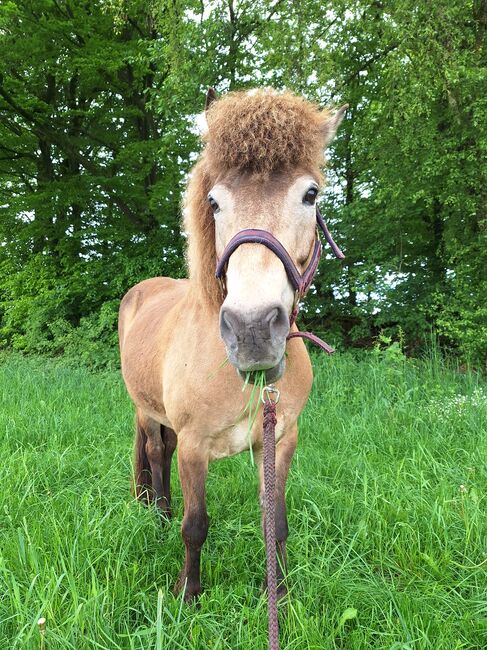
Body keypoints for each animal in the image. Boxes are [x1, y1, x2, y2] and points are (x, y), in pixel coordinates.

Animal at [118, 87, 346, 604]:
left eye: (311, 194)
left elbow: (275, 522)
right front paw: (188, 594)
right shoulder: (194, 447)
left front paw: (278, 594)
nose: (252, 329)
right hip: (146, 410)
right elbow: (195, 525)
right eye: (214, 201)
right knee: (155, 452)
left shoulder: (280, 440)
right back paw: (159, 515)